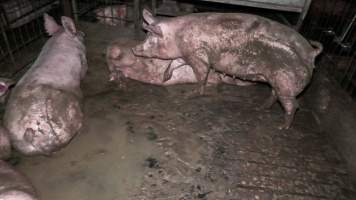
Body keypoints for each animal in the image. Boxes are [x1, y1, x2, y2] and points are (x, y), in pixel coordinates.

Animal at [133, 8, 322, 129]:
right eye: (146, 36)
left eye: (151, 40)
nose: (134, 49)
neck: (177, 37)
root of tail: (312, 53)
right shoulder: (185, 54)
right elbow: (174, 62)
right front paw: (165, 77)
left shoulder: (198, 56)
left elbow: (201, 75)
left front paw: (189, 95)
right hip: (278, 81)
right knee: (275, 95)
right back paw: (261, 108)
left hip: (285, 81)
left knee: (293, 104)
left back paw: (282, 127)